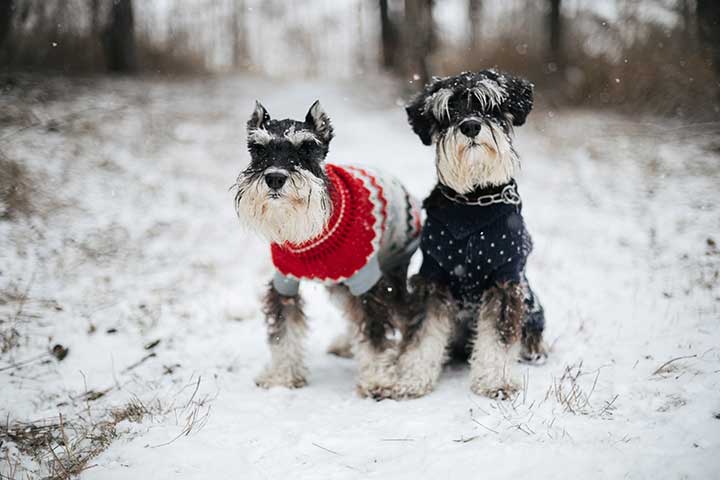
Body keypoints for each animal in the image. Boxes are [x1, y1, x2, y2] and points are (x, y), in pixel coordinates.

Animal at [231, 100, 422, 398]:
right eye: (258, 148)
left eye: (307, 147)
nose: (275, 178)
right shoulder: (284, 282)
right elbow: (283, 330)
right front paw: (282, 376)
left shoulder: (368, 284)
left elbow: (376, 332)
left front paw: (378, 379)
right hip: (341, 285)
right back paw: (345, 344)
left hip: (391, 275)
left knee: (403, 312)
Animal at [390, 69, 548, 400]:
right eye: (448, 111)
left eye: (489, 105)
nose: (471, 125)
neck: (474, 201)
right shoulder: (433, 277)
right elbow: (423, 333)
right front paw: (411, 378)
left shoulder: (505, 280)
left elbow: (498, 338)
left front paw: (496, 381)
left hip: (532, 307)